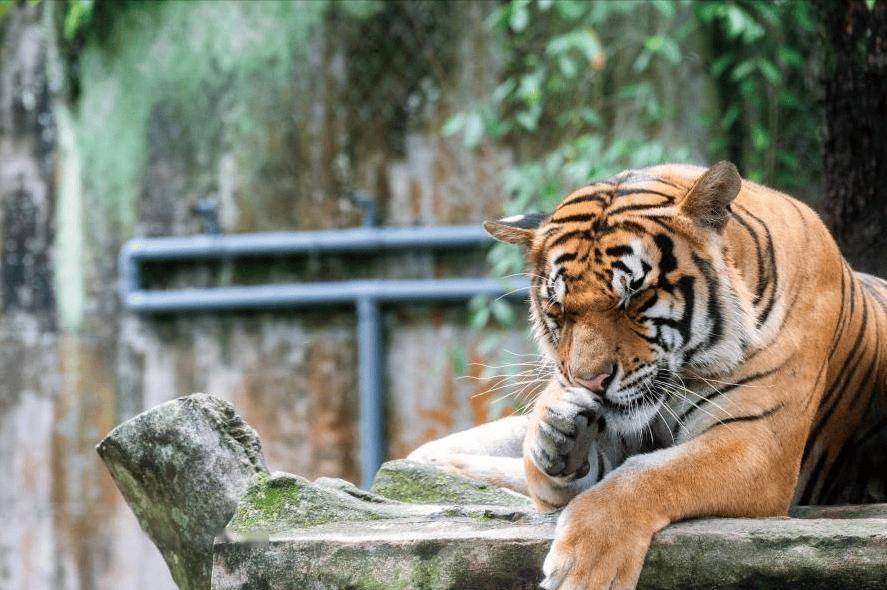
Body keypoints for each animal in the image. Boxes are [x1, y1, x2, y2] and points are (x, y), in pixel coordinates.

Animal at [407, 162, 887, 590]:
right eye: (558, 308)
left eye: (633, 298)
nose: (588, 381)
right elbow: (550, 470)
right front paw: (557, 430)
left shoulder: (757, 443)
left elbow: (645, 475)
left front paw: (582, 567)